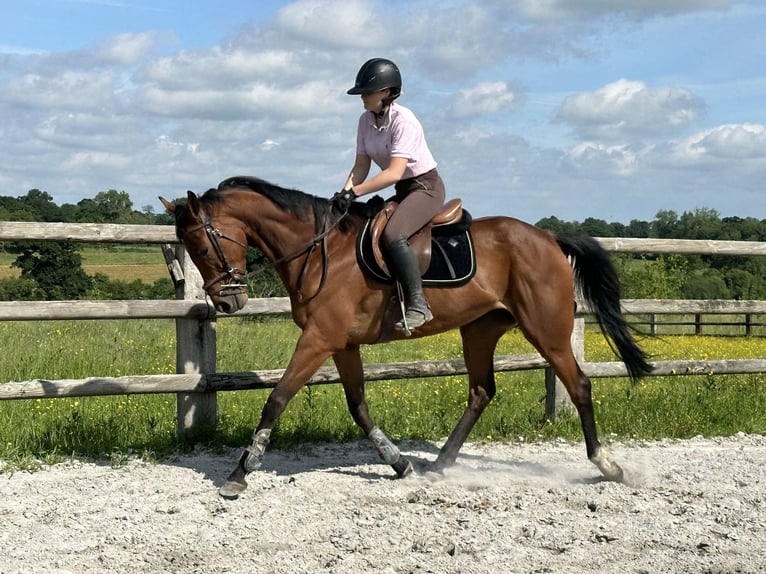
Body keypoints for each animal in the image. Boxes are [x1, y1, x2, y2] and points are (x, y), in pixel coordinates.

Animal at [159, 176, 652, 500]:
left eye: (202, 245)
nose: (228, 304)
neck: (319, 252)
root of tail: (547, 237)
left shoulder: (319, 339)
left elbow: (276, 399)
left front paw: (241, 471)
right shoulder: (343, 343)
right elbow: (358, 406)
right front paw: (400, 463)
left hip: (546, 329)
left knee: (579, 384)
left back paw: (607, 464)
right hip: (480, 328)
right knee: (481, 390)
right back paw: (441, 464)